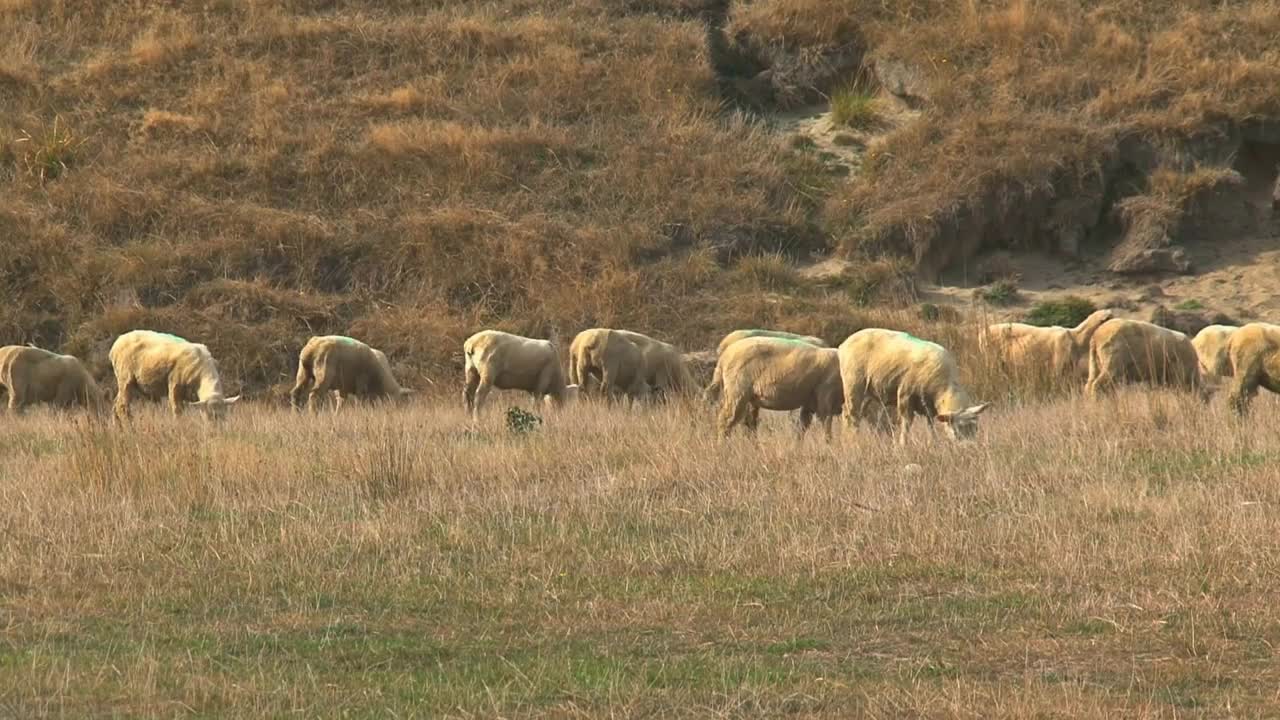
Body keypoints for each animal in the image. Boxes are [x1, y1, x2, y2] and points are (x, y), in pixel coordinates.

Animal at [109, 326, 240, 417]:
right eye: (210, 415)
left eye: (224, 416)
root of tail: (116, 344)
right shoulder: (175, 382)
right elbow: (177, 410)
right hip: (125, 377)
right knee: (122, 406)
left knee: (115, 404)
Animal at [716, 335, 844, 438]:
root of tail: (723, 357)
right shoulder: (826, 395)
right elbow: (826, 427)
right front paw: (829, 447)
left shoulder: (809, 402)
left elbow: (802, 428)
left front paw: (796, 448)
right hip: (737, 391)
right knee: (726, 421)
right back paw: (722, 446)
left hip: (749, 397)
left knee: (750, 424)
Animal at [839, 330, 988, 443]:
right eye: (957, 430)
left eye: (976, 428)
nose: (969, 448)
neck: (945, 387)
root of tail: (843, 344)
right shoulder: (905, 397)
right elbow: (906, 425)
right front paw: (902, 445)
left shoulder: (929, 407)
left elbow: (930, 426)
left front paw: (934, 443)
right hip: (853, 385)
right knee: (850, 414)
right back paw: (851, 439)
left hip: (868, 392)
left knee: (857, 414)